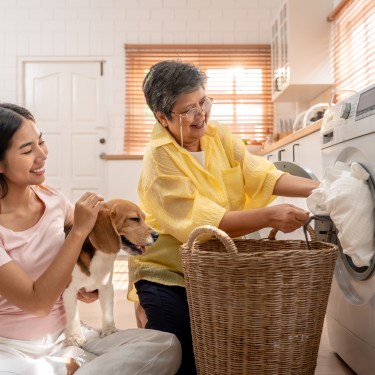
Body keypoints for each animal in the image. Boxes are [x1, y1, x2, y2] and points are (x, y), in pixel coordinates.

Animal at [62, 200, 158, 346]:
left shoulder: (106, 287)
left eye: (144, 218)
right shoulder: (69, 290)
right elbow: (73, 315)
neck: (101, 256)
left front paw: (109, 331)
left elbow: (108, 312)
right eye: (134, 219)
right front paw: (75, 337)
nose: (157, 235)